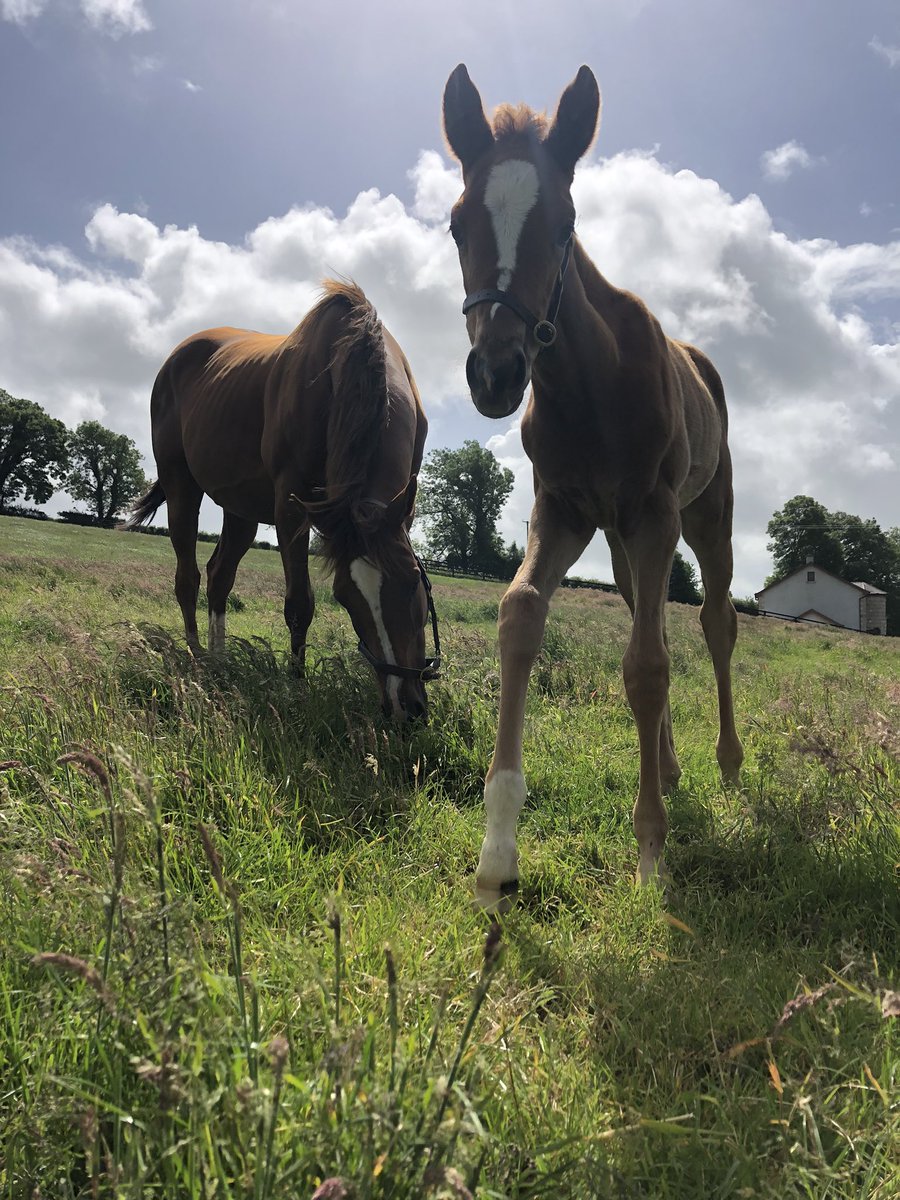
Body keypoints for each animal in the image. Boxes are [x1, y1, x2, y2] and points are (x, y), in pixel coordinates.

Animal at [125, 280, 439, 721]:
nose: (403, 708)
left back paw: (220, 660)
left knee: (220, 576)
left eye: (413, 581)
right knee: (188, 579)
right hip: (181, 487)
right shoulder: (292, 508)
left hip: (240, 510)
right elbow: (299, 605)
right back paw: (197, 657)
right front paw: (296, 687)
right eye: (344, 597)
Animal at [442, 65, 743, 906]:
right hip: (616, 534)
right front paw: (497, 854)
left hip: (703, 515)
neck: (591, 386)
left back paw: (727, 766)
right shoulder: (564, 509)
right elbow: (519, 615)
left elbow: (646, 666)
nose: (496, 373)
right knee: (651, 612)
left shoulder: (653, 513)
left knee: (712, 625)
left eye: (565, 223)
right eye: (457, 225)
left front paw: (650, 851)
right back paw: (668, 765)